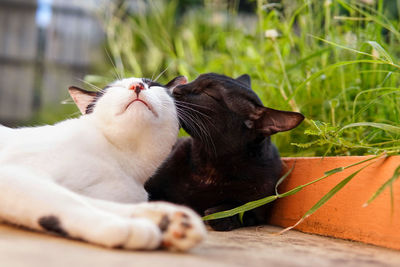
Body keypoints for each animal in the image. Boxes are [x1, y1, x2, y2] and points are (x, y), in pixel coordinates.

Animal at [0, 76, 206, 252]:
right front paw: (128, 226)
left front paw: (165, 220)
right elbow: (69, 201)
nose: (137, 86)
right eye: (115, 88)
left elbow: (87, 200)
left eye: (152, 85)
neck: (119, 159)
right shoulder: (14, 173)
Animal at [145, 74, 304, 232]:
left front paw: (218, 213)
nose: (176, 88)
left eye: (209, 94)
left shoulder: (259, 206)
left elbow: (240, 210)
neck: (210, 165)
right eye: (195, 80)